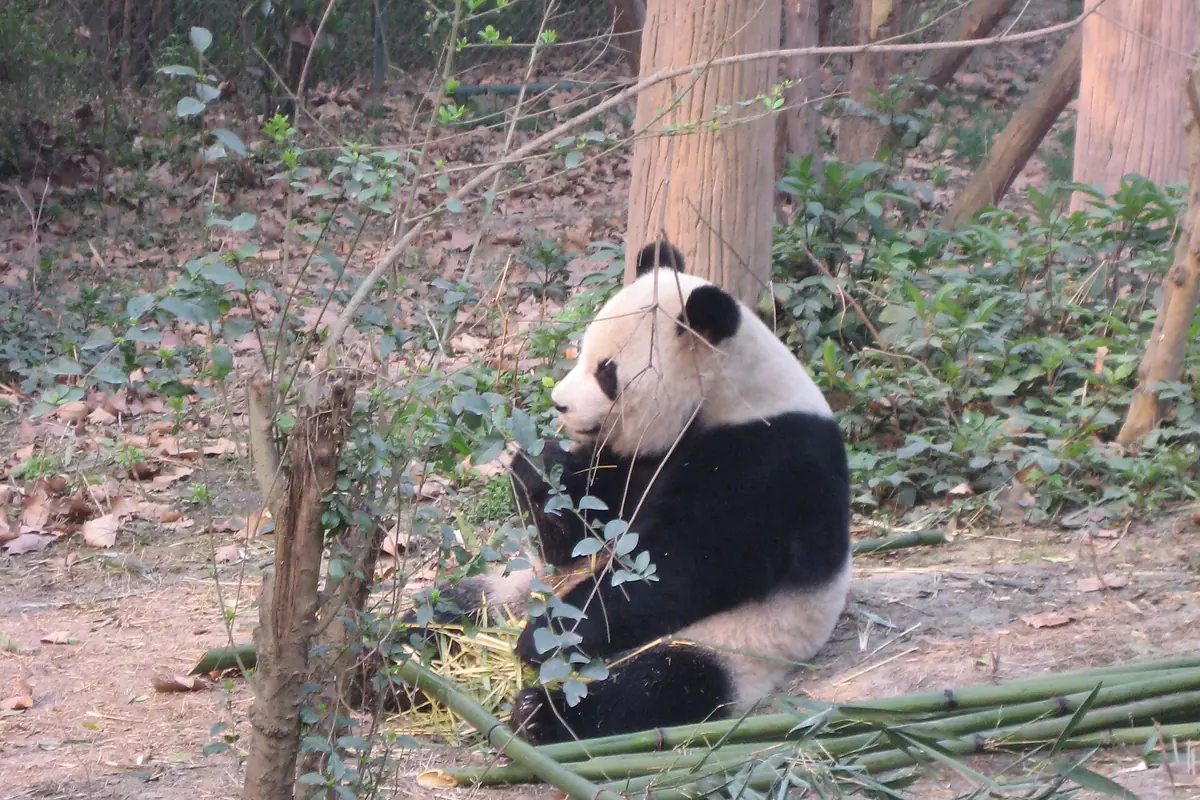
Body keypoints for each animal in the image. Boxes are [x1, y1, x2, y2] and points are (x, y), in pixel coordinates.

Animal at [410, 240, 852, 745]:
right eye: (582, 350)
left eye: (607, 373)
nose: (559, 403)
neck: (728, 398)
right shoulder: (632, 460)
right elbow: (580, 530)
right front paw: (538, 467)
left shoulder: (770, 465)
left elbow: (685, 568)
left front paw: (545, 635)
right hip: (513, 588)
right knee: (453, 609)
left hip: (741, 640)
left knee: (661, 683)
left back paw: (540, 711)